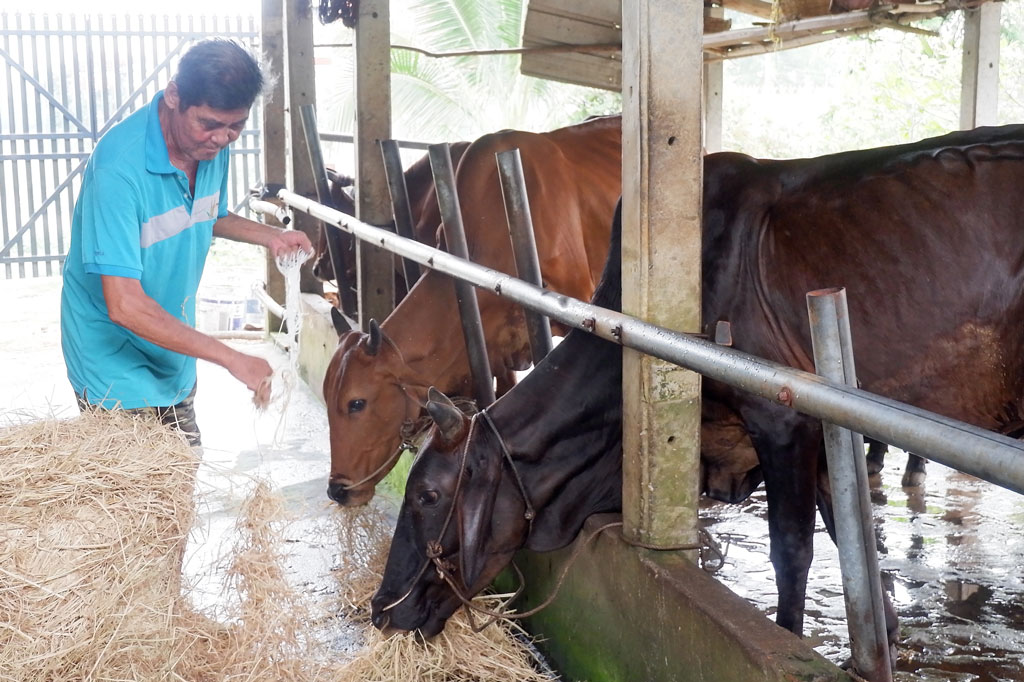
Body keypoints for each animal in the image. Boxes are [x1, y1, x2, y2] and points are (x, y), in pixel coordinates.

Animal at [372, 124, 1024, 651]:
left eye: (426, 495)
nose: (380, 609)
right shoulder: (826, 433)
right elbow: (849, 535)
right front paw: (883, 633)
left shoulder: (783, 420)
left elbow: (793, 552)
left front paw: (790, 639)